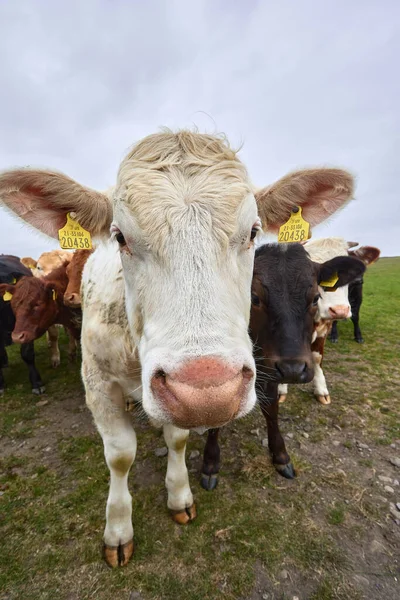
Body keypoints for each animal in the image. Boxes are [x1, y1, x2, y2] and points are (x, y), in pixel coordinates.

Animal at [200, 241, 366, 490]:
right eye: (254, 297)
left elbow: (271, 408)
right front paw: (210, 463)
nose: (292, 370)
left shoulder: (270, 371)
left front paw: (280, 454)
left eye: (315, 298)